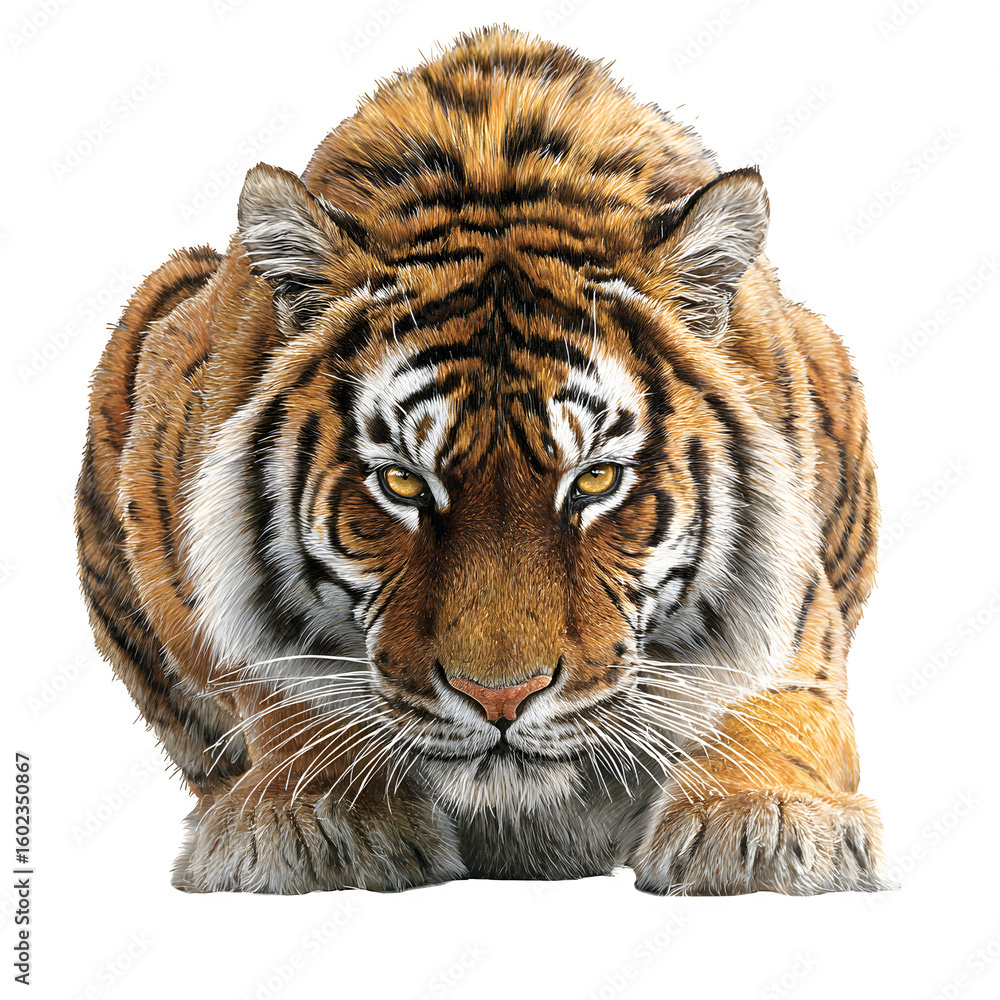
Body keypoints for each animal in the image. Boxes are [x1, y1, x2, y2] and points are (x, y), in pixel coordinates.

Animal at [75, 26, 895, 895]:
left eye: (595, 479)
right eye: (403, 482)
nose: (499, 699)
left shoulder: (795, 608)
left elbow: (778, 699)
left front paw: (768, 821)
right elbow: (285, 680)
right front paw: (313, 822)